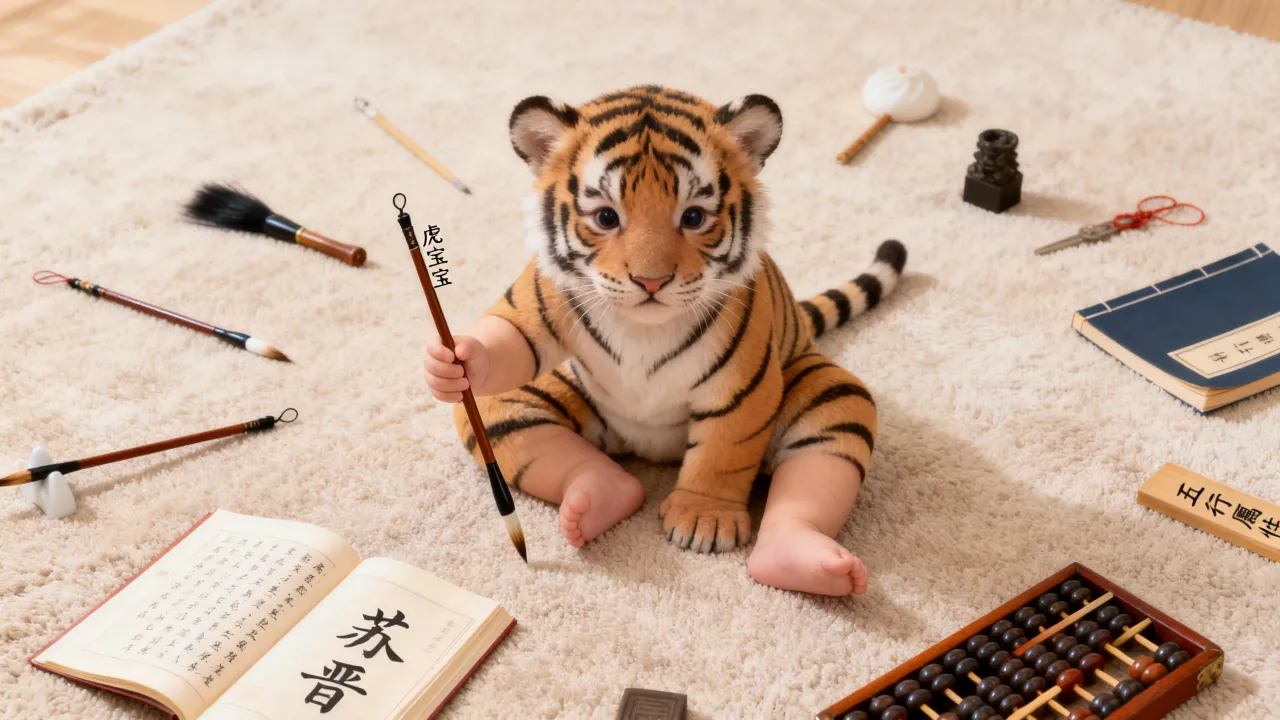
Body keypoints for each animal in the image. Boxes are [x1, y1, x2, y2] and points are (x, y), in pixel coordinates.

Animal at [424, 85, 906, 596]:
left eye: (693, 217)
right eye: (606, 217)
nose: (650, 281)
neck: (644, 328)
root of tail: (640, 449)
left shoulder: (744, 385)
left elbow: (722, 452)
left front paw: (704, 518)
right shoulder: (540, 296)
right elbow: (511, 339)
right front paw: (454, 362)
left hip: (829, 395)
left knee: (814, 473)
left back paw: (804, 558)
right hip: (517, 406)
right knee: (547, 440)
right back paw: (596, 495)